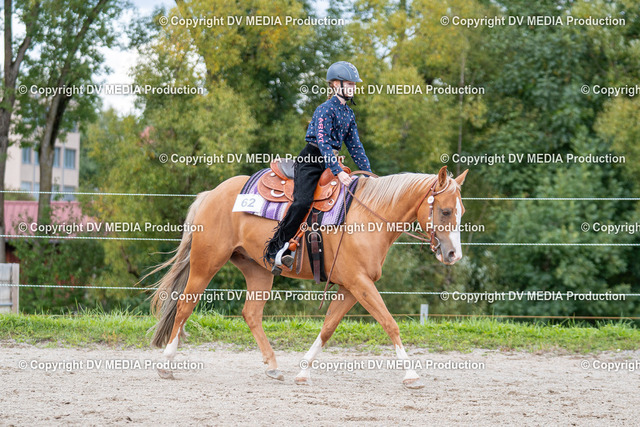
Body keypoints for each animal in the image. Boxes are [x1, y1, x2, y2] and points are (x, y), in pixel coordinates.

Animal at [147, 165, 468, 389]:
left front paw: (303, 372)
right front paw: (411, 375)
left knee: (251, 313)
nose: (454, 254)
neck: (368, 217)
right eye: (445, 210)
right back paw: (166, 364)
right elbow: (390, 324)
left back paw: (273, 366)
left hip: (258, 270)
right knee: (185, 306)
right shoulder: (360, 283)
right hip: (207, 262)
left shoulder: (350, 287)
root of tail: (210, 195)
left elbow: (328, 328)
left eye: (460, 211)